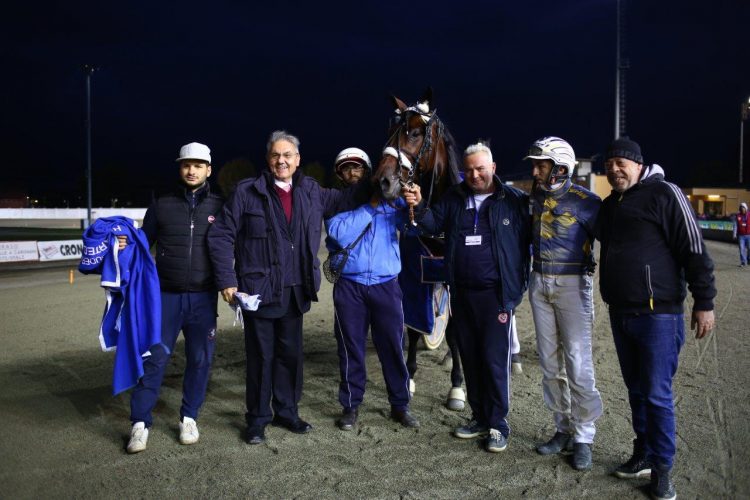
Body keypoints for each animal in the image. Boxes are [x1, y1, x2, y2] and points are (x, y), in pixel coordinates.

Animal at [374, 89, 468, 410]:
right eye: (390, 132)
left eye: (415, 133)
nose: (382, 181)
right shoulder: (416, 271)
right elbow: (414, 326)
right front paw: (410, 375)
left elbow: (454, 330)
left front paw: (457, 386)